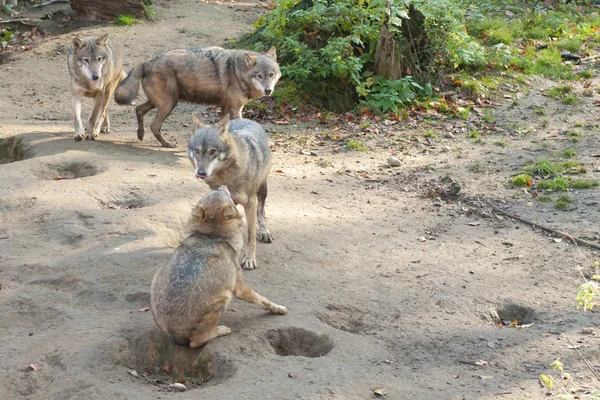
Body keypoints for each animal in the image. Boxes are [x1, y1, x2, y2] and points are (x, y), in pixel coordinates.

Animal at [113, 45, 282, 148]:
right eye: (259, 76)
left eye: (271, 75)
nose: (268, 90)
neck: (237, 72)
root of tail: (147, 61)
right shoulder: (235, 109)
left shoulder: (225, 107)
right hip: (169, 104)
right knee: (153, 125)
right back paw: (166, 144)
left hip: (159, 103)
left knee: (138, 109)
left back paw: (140, 135)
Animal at [152, 186, 288, 348]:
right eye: (224, 194)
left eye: (216, 192)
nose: (220, 186)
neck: (211, 236)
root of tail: (175, 334)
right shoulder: (239, 287)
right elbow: (262, 299)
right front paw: (279, 308)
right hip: (224, 298)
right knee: (196, 341)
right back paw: (221, 330)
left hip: (157, 274)